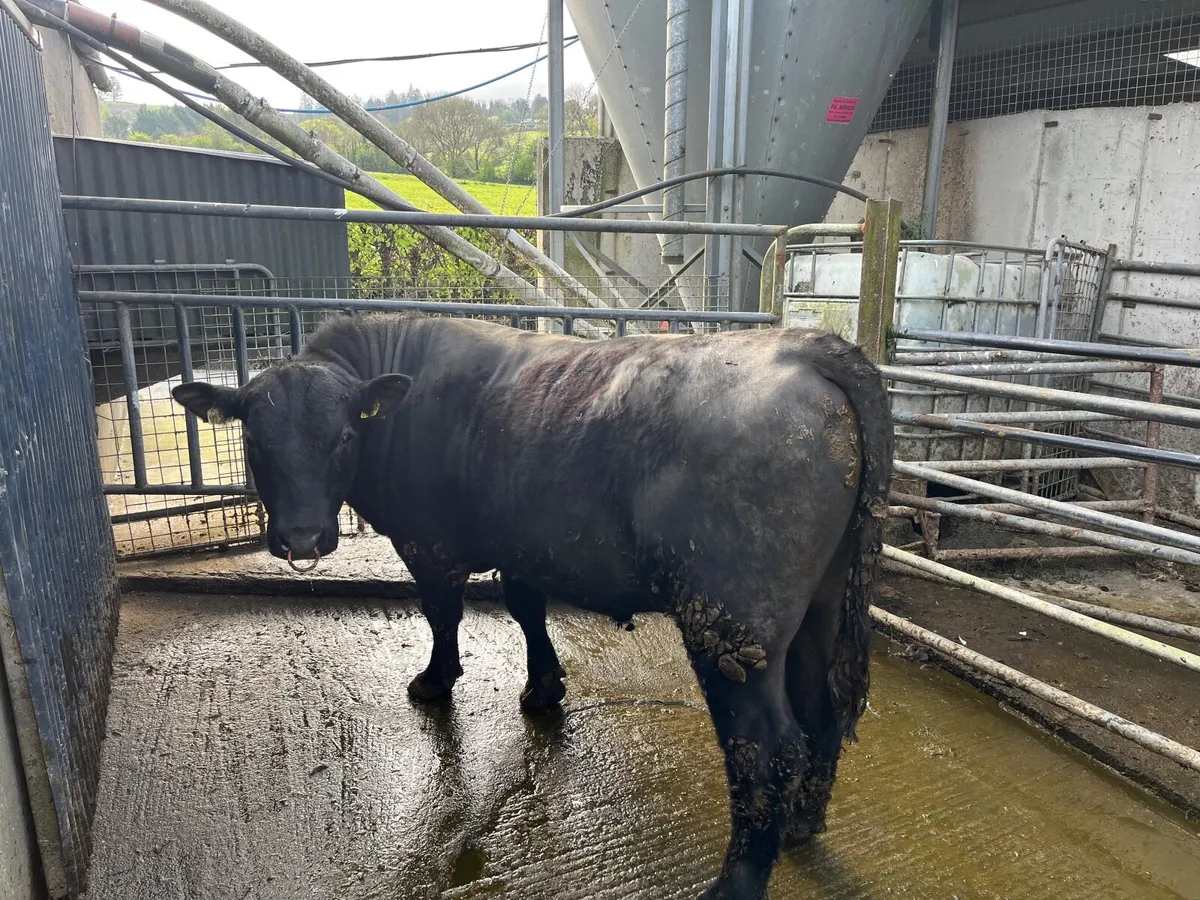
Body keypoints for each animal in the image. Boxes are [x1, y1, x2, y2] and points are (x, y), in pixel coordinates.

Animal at [172, 313, 893, 900]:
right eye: (255, 439)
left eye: (344, 437)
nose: (301, 537)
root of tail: (809, 346)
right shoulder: (521, 544)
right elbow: (525, 609)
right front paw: (544, 688)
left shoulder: (429, 543)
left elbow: (443, 615)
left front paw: (435, 681)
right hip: (821, 606)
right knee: (823, 710)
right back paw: (801, 824)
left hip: (731, 621)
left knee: (765, 746)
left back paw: (735, 882)